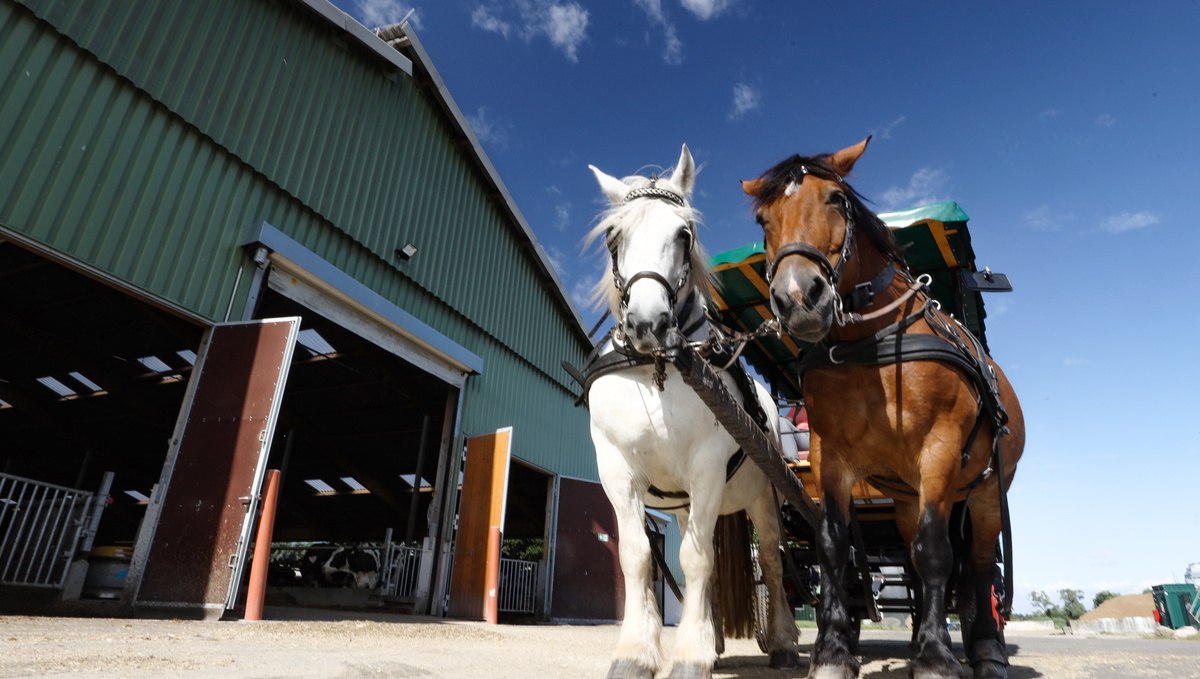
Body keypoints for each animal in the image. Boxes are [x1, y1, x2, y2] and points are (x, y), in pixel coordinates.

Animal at [585, 146, 801, 676]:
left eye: (683, 234)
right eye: (613, 236)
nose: (648, 324)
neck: (653, 370)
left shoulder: (707, 467)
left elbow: (699, 561)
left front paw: (688, 656)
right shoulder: (616, 469)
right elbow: (638, 556)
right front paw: (637, 651)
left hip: (763, 497)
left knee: (772, 561)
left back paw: (782, 643)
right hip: (685, 505)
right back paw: (714, 637)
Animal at [739, 135, 1022, 676]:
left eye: (836, 199)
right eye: (763, 219)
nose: (797, 296)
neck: (870, 345)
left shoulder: (940, 447)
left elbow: (938, 552)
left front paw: (936, 656)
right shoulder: (830, 456)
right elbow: (835, 546)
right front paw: (833, 649)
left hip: (985, 489)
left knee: (975, 562)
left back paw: (985, 647)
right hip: (910, 496)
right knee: (912, 561)